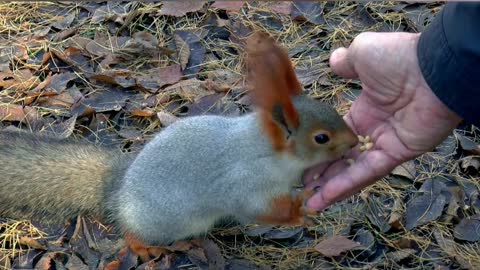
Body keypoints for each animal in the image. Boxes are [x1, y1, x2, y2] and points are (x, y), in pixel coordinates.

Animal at [0, 32, 358, 262]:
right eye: (321, 138)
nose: (355, 142)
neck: (266, 151)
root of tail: (118, 188)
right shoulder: (244, 184)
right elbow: (258, 210)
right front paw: (299, 211)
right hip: (163, 220)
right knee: (131, 231)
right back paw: (142, 246)